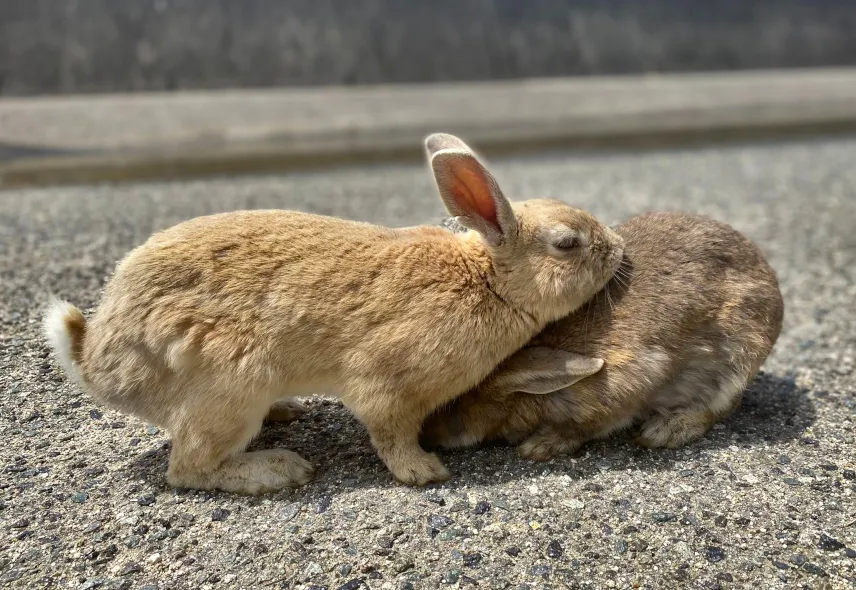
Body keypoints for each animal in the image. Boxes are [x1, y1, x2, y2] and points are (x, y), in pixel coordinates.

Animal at [43, 134, 624, 494]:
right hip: (228, 384)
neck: (488, 281)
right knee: (187, 469)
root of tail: (97, 364)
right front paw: (424, 473)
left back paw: (286, 414)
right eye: (567, 243)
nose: (619, 248)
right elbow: (389, 432)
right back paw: (279, 470)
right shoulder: (387, 383)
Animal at [422, 210, 784, 460]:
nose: (428, 437)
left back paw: (665, 431)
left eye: (452, 403)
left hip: (737, 358)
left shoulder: (621, 388)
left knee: (720, 406)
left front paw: (539, 447)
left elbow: (585, 427)